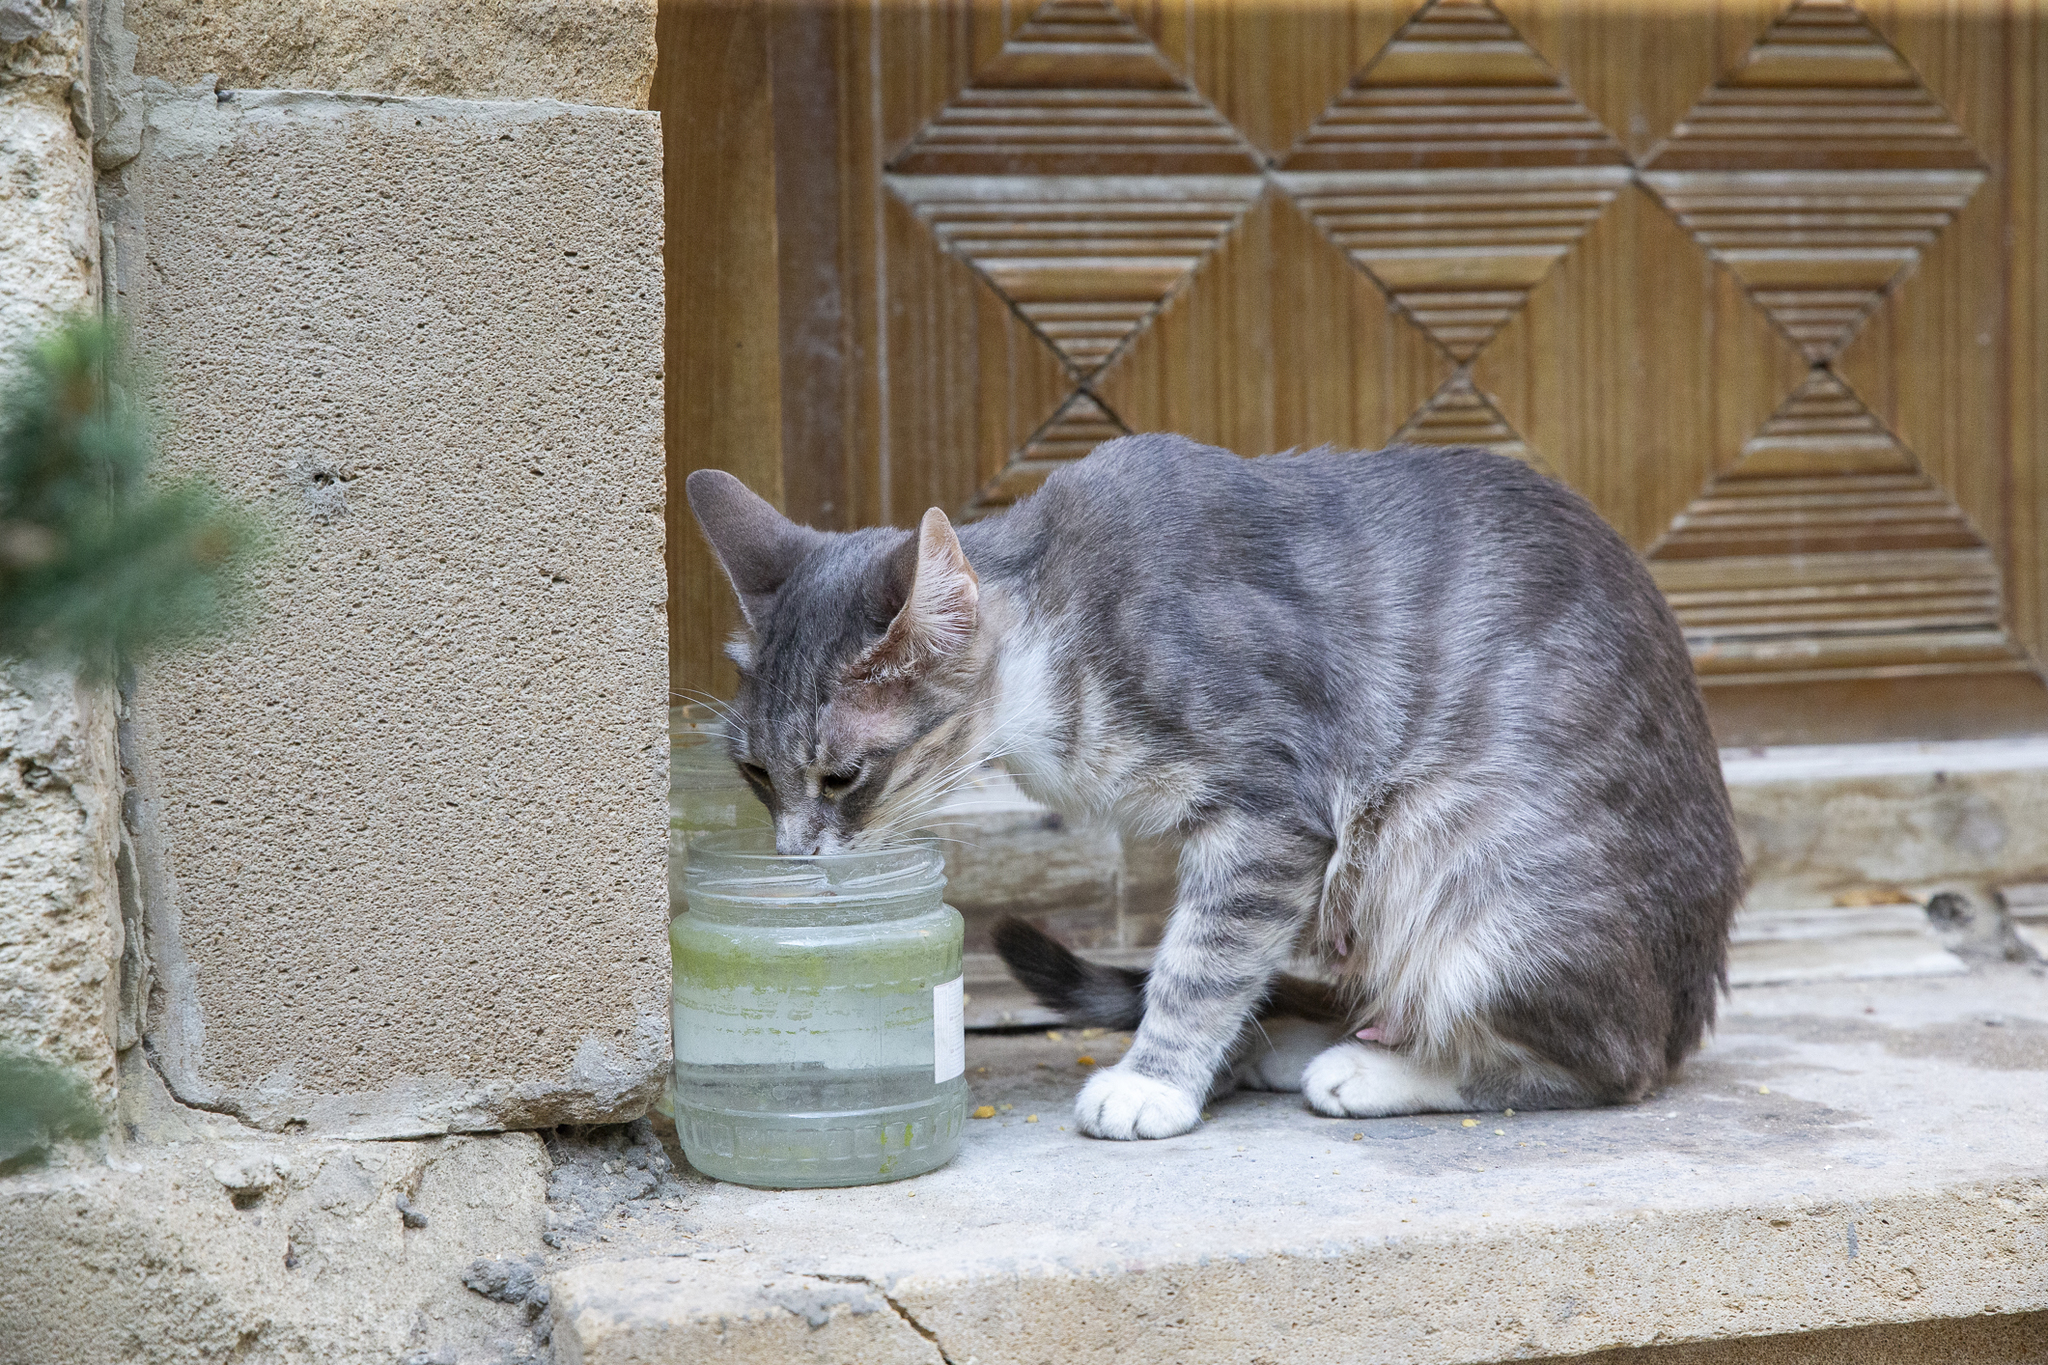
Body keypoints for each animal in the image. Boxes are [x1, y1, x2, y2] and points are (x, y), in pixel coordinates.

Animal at [688, 439, 1744, 1146]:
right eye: (754, 772)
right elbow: (1204, 954)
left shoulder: (1274, 808)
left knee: (1602, 1061)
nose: (791, 858)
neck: (1061, 631)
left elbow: (1203, 955)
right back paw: (1304, 1033)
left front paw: (1154, 1079)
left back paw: (1372, 1066)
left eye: (843, 775)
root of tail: (1687, 1001)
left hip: (1477, 868)